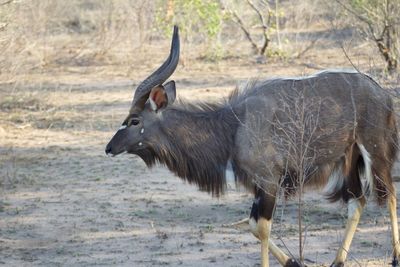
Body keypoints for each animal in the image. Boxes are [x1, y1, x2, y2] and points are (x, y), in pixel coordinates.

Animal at [104, 26, 398, 266]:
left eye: (134, 120)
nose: (108, 148)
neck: (233, 127)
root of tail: (381, 92)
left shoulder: (268, 181)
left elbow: (261, 227)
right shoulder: (259, 186)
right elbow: (252, 225)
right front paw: (294, 261)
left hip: (375, 150)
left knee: (390, 194)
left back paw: (394, 257)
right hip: (348, 158)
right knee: (358, 200)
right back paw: (337, 261)